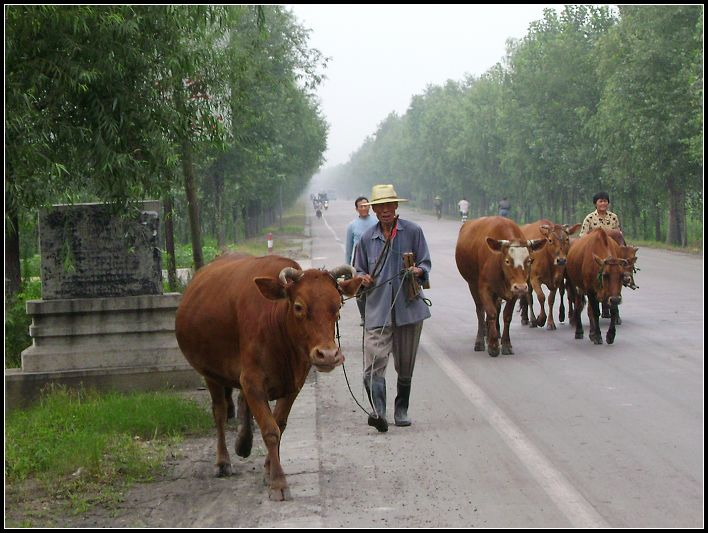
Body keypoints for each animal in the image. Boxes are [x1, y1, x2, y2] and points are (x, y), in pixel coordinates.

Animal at [176, 254, 362, 498]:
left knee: (240, 401)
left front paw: (268, 469)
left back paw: (244, 442)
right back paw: (223, 461)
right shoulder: (252, 382)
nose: (328, 355)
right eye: (299, 306)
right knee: (219, 412)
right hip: (211, 373)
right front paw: (278, 482)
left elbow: (279, 425)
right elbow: (270, 430)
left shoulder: (294, 384)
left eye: (338, 306)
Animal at [454, 216, 548, 358]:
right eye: (507, 261)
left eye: (529, 260)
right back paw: (481, 341)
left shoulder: (513, 291)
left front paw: (506, 344)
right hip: (472, 284)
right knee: (480, 311)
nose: (521, 287)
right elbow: (491, 313)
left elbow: (506, 315)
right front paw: (493, 346)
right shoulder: (484, 288)